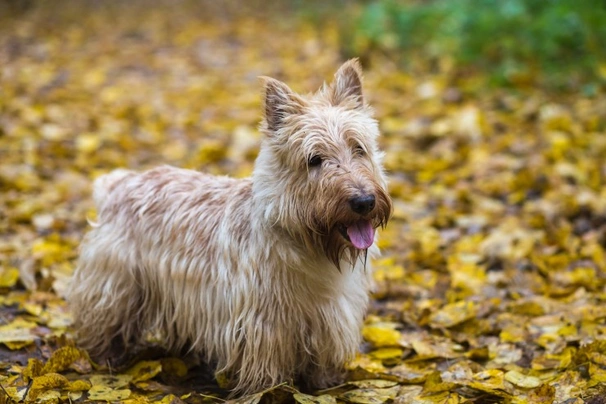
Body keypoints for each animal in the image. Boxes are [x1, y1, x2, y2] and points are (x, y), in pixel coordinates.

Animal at [70, 60, 394, 394]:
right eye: (314, 159)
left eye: (358, 149)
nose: (364, 201)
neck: (306, 243)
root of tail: (119, 182)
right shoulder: (263, 323)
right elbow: (266, 362)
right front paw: (268, 390)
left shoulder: (330, 316)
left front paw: (324, 382)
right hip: (115, 285)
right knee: (103, 321)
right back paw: (106, 357)